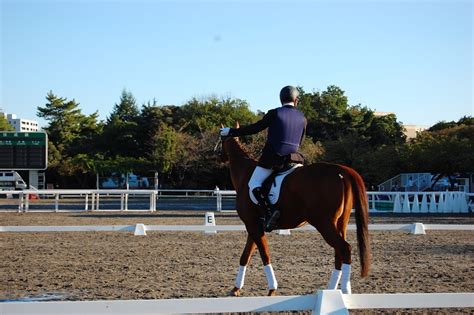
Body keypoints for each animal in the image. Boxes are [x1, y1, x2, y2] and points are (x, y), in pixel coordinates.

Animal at [220, 135, 372, 296]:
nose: (220, 157)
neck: (245, 174)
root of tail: (341, 170)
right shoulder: (254, 226)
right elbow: (245, 256)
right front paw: (236, 288)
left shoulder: (252, 225)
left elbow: (265, 255)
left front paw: (272, 289)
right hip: (340, 223)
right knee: (339, 252)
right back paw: (331, 291)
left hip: (324, 223)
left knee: (344, 248)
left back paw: (345, 291)